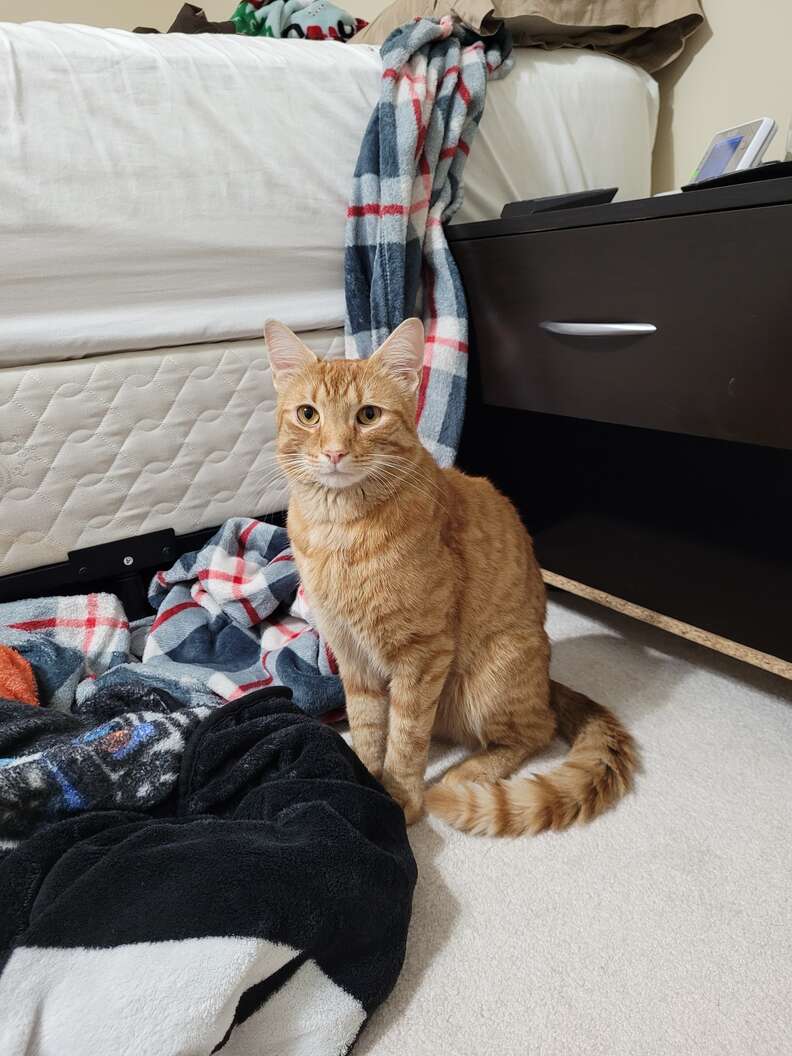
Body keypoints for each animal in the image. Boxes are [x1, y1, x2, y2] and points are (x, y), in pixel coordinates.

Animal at [267, 316, 637, 836]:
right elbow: (367, 727)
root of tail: (546, 679)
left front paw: (400, 799)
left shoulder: (422, 654)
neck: (339, 530)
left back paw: (468, 773)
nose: (335, 452)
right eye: (308, 414)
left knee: (536, 730)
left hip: (490, 679)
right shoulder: (351, 655)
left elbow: (405, 738)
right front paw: (364, 780)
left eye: (368, 416)